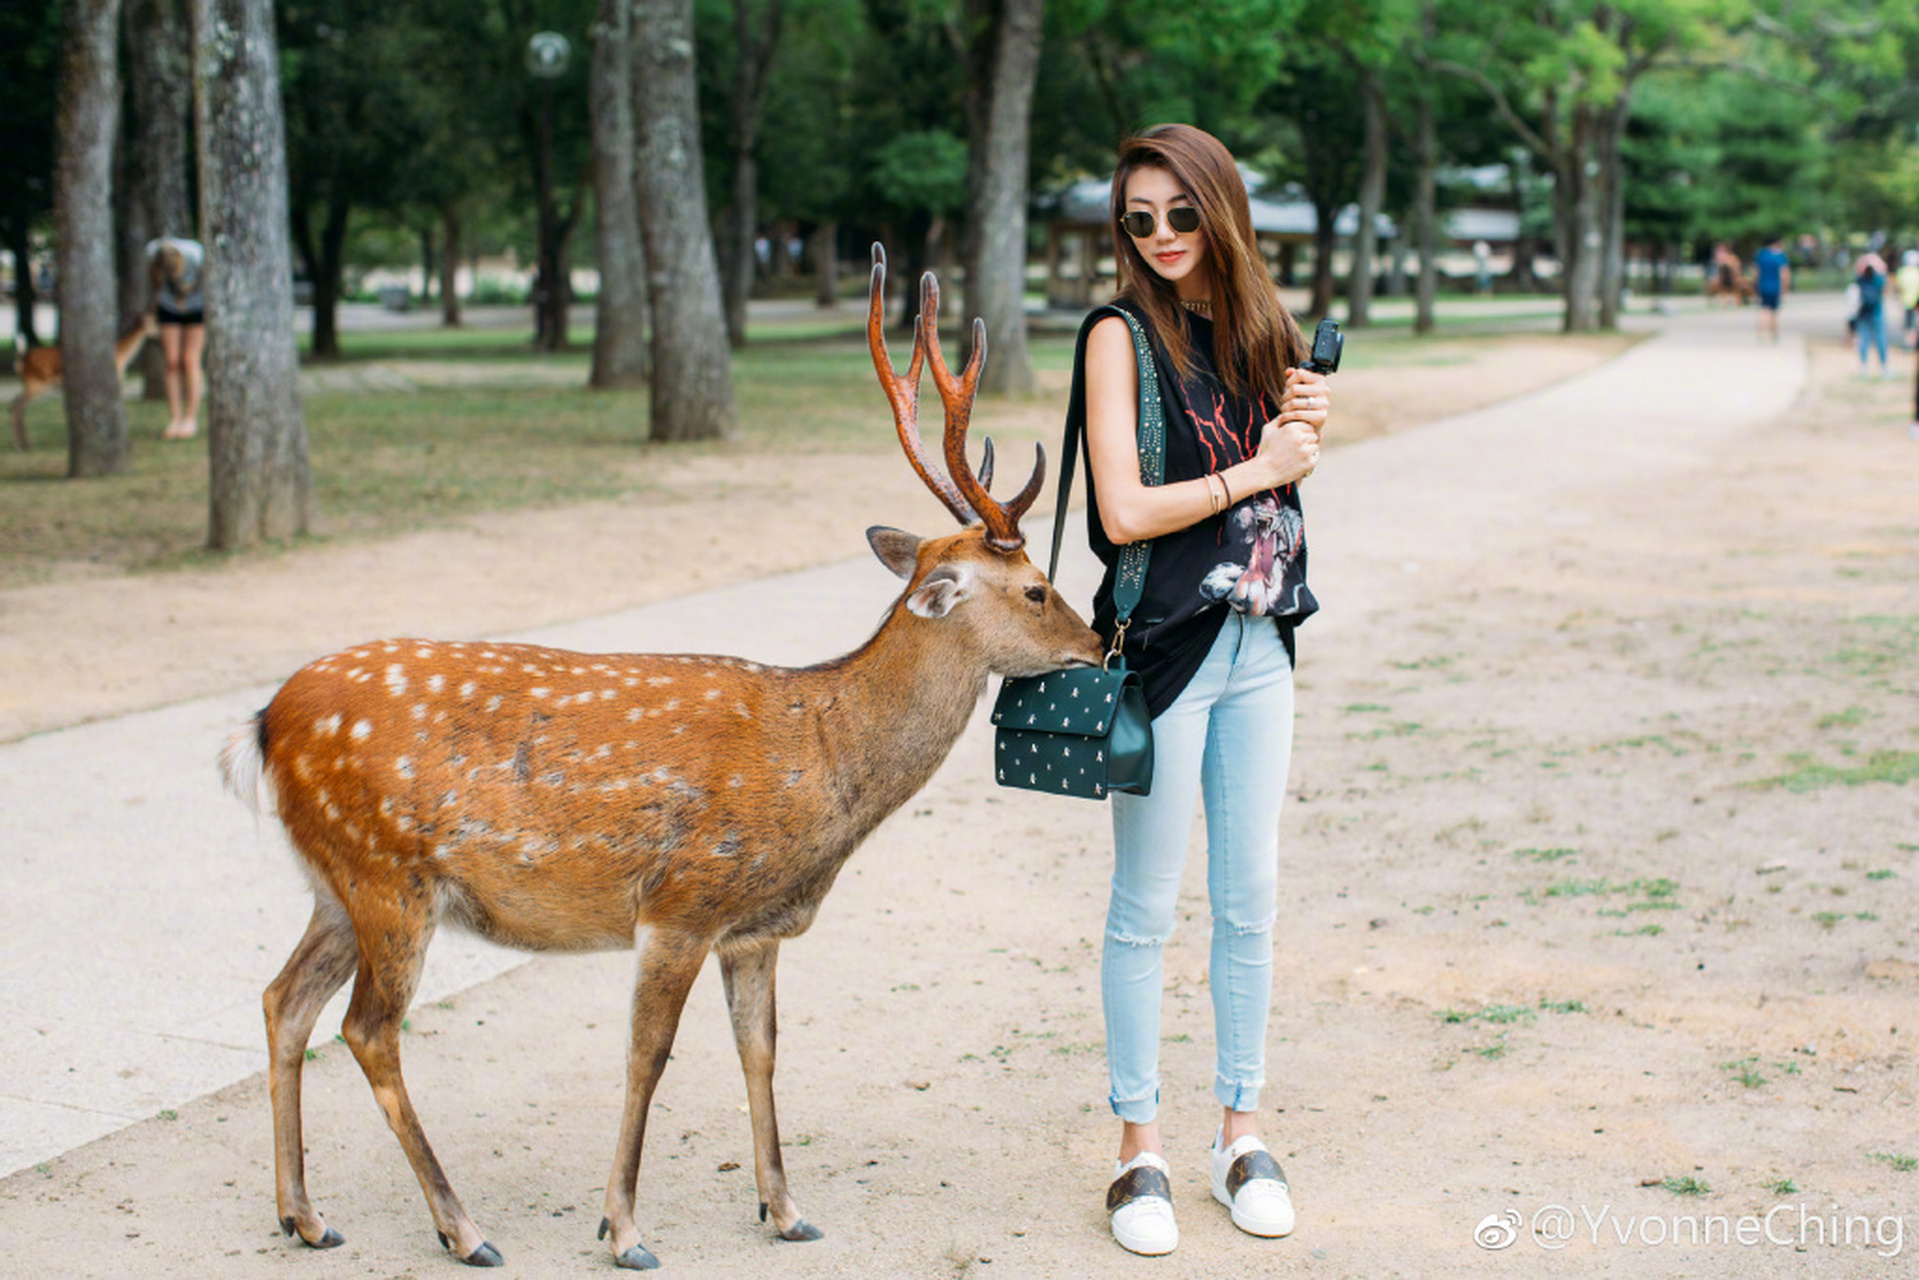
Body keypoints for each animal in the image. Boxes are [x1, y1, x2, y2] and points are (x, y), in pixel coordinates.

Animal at [10, 311, 160, 450]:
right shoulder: (117, 378)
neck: (122, 356)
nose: (158, 335)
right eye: (154, 322)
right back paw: (20, 445)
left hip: (29, 383)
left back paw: (25, 443)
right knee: (17, 406)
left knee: (15, 404)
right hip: (36, 383)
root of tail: (21, 361)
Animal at [220, 244, 1104, 1271]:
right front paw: (623, 1230)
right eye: (1038, 588)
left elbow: (761, 1049)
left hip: (336, 879)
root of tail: (265, 723)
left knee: (283, 1000)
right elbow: (648, 1054)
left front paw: (785, 1210)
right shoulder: (682, 900)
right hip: (387, 873)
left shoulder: (755, 925)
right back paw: (463, 1228)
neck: (823, 764)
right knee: (367, 1029)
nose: (1099, 644)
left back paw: (304, 1214)